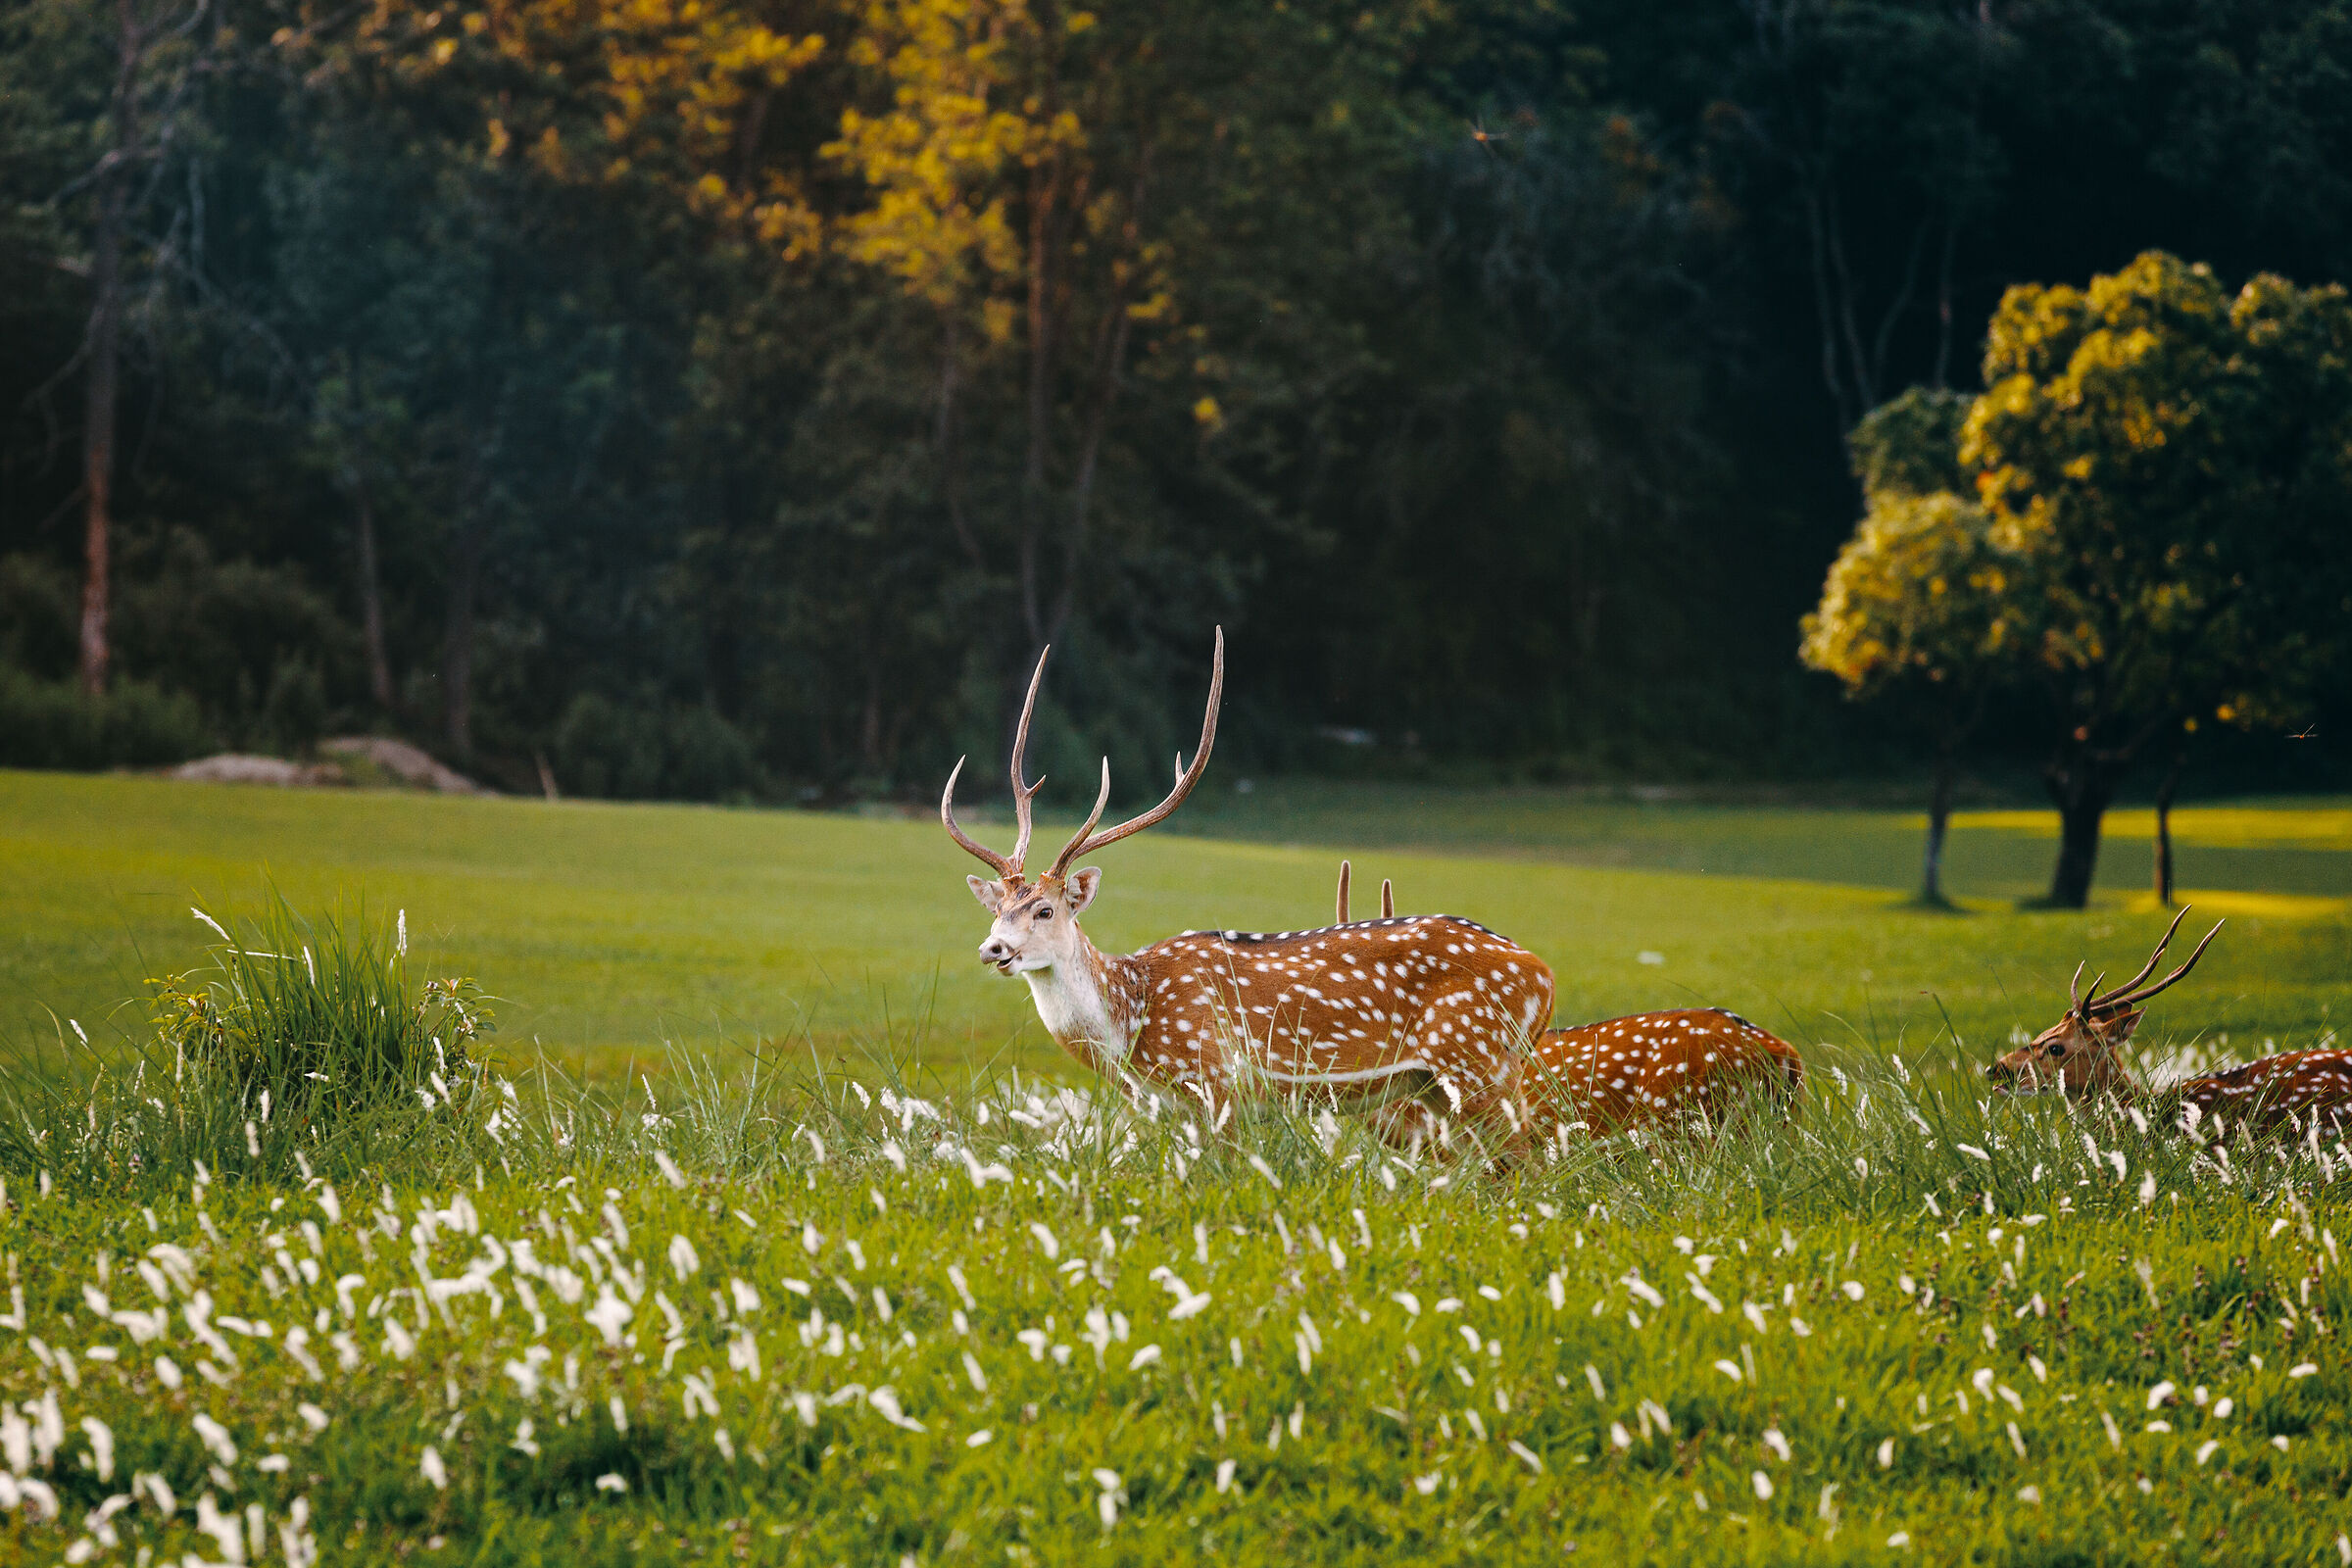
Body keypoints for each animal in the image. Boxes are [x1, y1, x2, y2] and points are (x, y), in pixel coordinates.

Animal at [944, 631, 1558, 1146]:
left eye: (1045, 910)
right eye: (999, 908)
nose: (992, 948)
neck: (1132, 1024)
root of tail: (1544, 975)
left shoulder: (1220, 1083)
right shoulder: (1163, 1109)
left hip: (1479, 1060)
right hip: (1438, 1084)